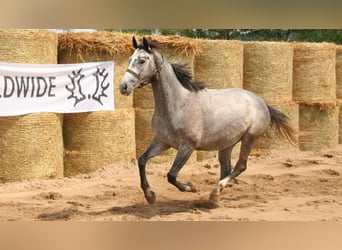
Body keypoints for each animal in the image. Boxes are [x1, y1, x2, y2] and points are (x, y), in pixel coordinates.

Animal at [119, 36, 296, 205]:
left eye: (142, 60)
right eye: (129, 59)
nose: (123, 86)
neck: (178, 103)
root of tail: (261, 101)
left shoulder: (187, 147)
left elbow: (171, 175)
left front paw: (191, 188)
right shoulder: (162, 141)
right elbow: (142, 160)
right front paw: (150, 196)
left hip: (249, 138)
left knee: (240, 166)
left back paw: (215, 193)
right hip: (226, 144)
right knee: (226, 169)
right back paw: (214, 197)